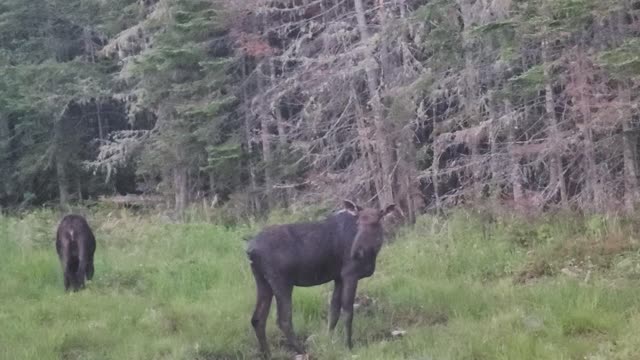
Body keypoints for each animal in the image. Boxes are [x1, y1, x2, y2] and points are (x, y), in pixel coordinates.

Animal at [246, 200, 392, 358]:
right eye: (358, 222)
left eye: (375, 222)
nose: (356, 251)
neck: (373, 253)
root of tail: (249, 250)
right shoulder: (350, 274)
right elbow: (347, 311)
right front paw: (348, 346)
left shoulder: (338, 277)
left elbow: (333, 311)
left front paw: (329, 341)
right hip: (281, 281)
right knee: (283, 319)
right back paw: (302, 351)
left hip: (262, 280)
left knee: (258, 319)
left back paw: (268, 354)